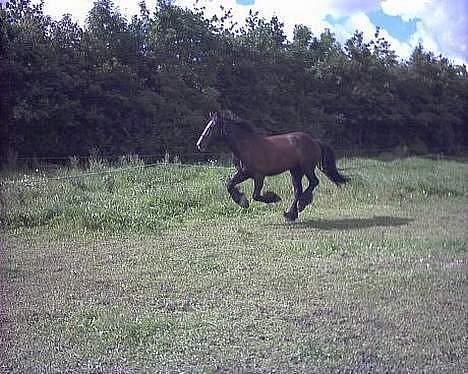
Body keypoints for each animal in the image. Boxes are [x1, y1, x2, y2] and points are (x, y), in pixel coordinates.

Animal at [195, 112, 348, 221]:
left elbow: (256, 195)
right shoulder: (244, 173)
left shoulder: (258, 176)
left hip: (306, 168)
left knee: (313, 182)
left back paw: (302, 204)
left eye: (212, 126)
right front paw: (242, 202)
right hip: (295, 171)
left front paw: (274, 198)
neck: (246, 145)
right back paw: (291, 214)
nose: (199, 145)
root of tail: (314, 141)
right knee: (298, 190)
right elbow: (229, 184)